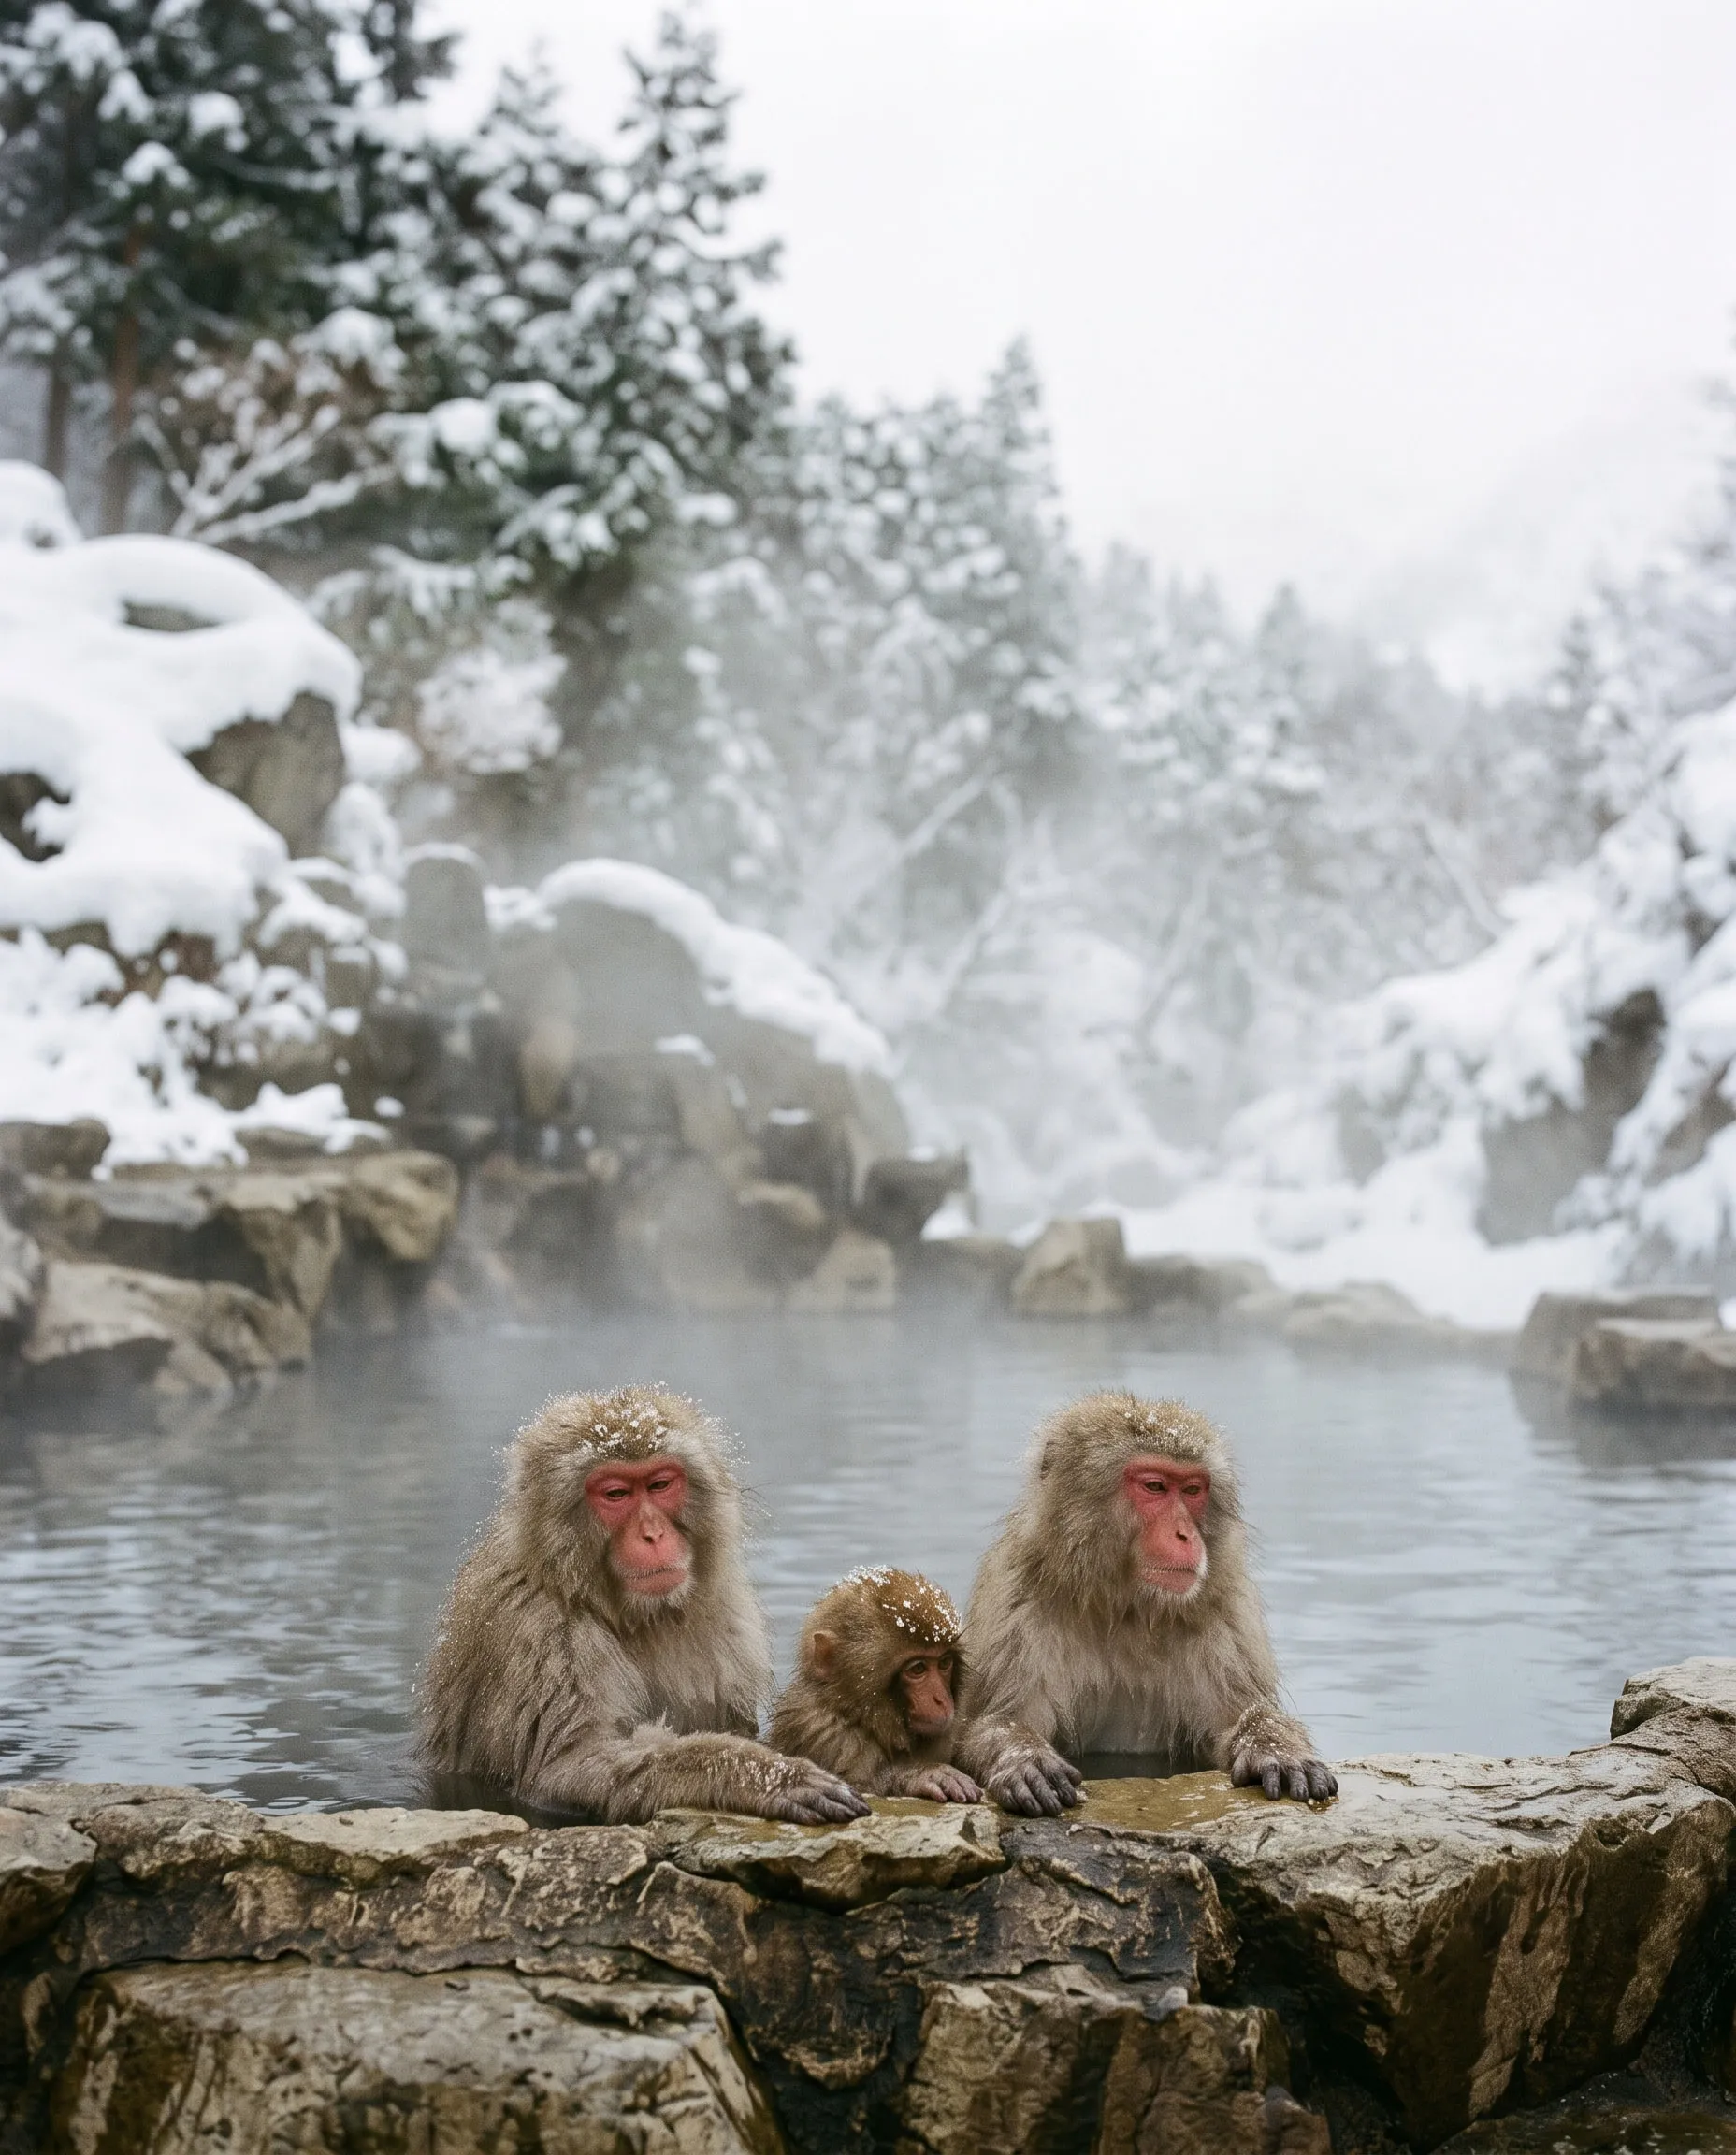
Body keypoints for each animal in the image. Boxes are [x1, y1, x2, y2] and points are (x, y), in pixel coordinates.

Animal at [420, 1384, 870, 1827]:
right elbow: (568, 1769)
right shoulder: (537, 1632)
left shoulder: (722, 1615)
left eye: (659, 1485)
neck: (629, 1614)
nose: (652, 1534)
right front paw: (769, 1776)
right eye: (617, 1493)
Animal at [771, 1565, 1086, 1815]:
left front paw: (1022, 1758)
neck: (863, 1718)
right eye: (918, 1668)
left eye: (944, 1663)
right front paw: (919, 1775)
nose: (941, 1700)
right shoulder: (821, 1731)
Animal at [961, 1391, 1336, 1803]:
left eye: (1192, 1490)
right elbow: (1000, 1719)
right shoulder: (1015, 1608)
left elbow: (1239, 1715)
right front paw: (1023, 1755)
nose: (1185, 1534)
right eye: (1155, 1487)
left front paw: (1274, 1747)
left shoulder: (1226, 1616)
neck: (1128, 1610)